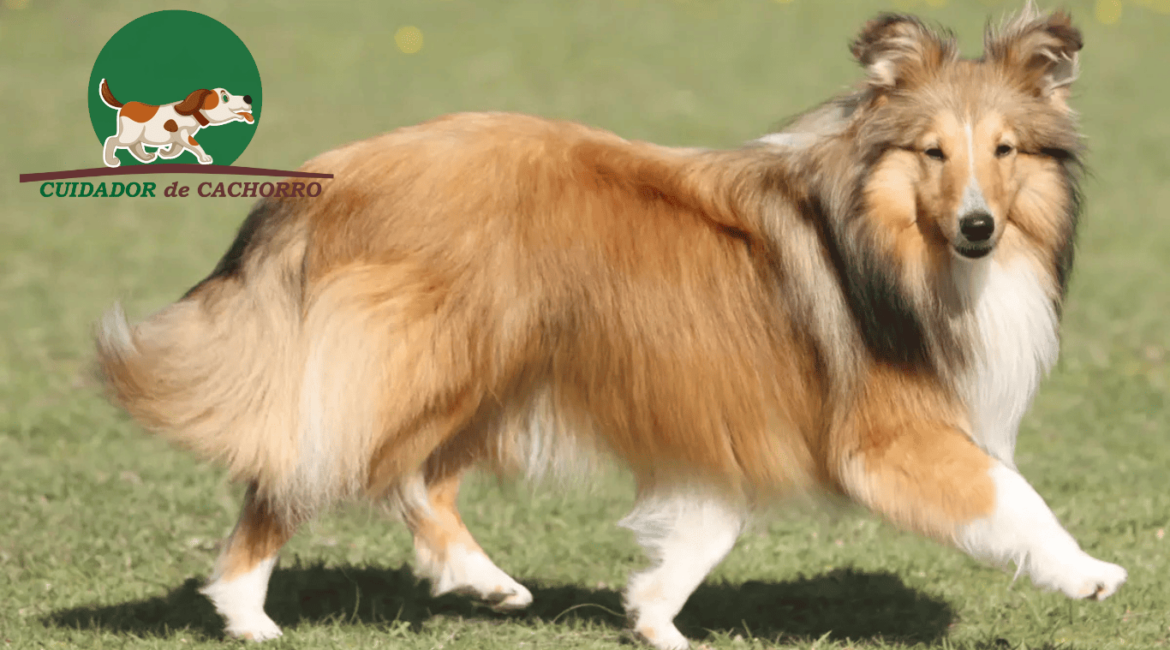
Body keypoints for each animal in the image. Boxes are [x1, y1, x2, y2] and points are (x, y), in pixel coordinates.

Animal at [98, 3, 1123, 645]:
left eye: (1005, 150)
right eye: (932, 151)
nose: (979, 227)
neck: (885, 239)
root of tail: (330, 175)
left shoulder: (730, 417)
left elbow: (705, 532)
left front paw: (656, 620)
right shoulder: (889, 437)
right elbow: (1010, 495)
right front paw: (1088, 573)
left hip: (490, 364)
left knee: (416, 479)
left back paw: (487, 581)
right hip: (432, 359)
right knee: (310, 470)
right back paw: (247, 612)